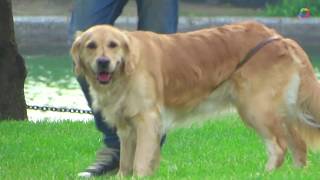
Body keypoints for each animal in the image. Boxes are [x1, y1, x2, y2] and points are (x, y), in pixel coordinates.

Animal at [71, 21, 320, 177]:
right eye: (91, 46)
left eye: (113, 45)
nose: (103, 62)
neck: (126, 71)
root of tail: (278, 37)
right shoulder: (126, 127)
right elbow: (125, 161)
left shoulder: (147, 119)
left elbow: (140, 161)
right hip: (278, 111)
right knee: (298, 145)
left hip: (256, 108)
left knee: (279, 147)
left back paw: (263, 174)